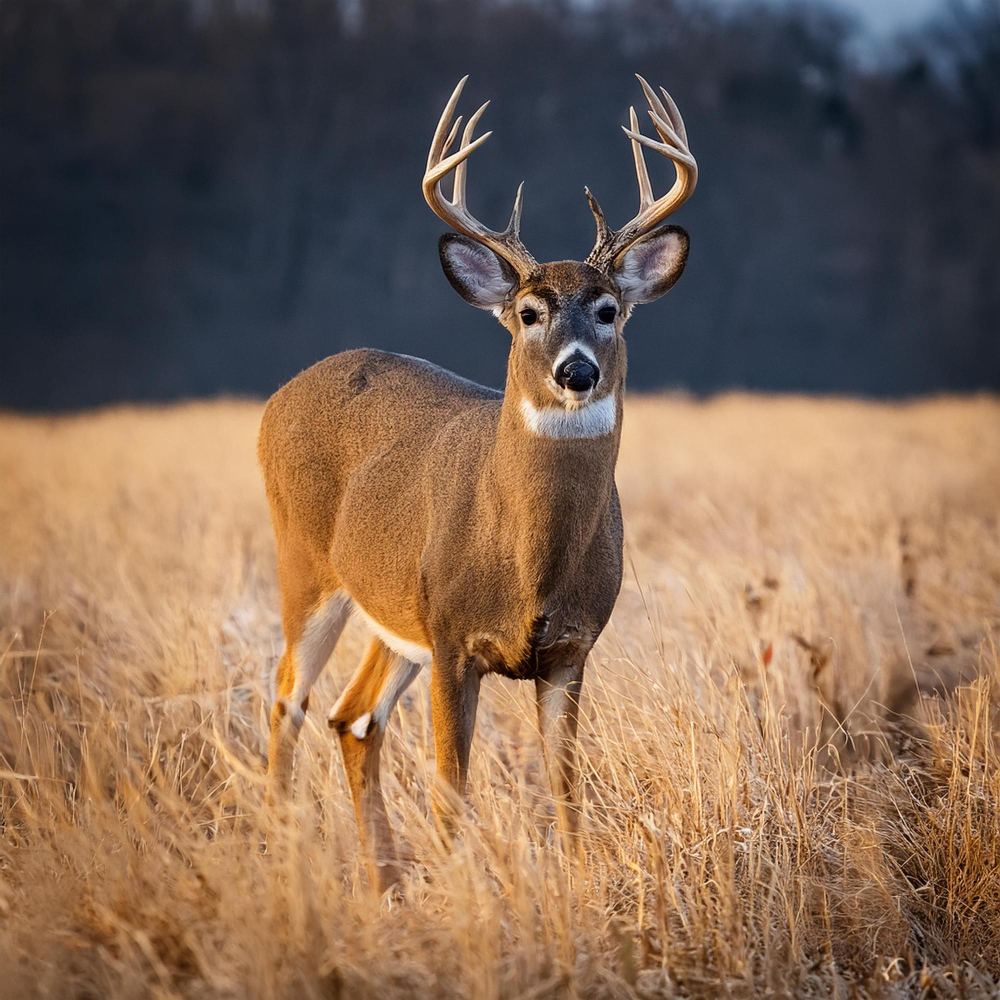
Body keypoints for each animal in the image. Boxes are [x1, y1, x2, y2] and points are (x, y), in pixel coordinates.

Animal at [258, 75, 697, 891]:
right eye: (527, 311)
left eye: (609, 309)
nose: (577, 370)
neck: (530, 565)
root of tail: (278, 398)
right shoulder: (455, 641)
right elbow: (451, 796)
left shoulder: (570, 651)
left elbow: (567, 794)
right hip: (305, 566)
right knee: (286, 701)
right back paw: (281, 858)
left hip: (395, 615)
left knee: (351, 716)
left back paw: (385, 884)